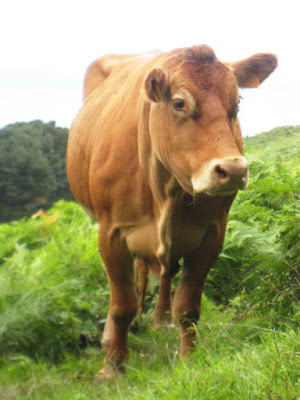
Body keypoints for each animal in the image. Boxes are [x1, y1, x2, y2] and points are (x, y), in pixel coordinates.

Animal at [67, 45, 278, 380]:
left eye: (237, 102)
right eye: (179, 103)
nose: (232, 170)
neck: (165, 190)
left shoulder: (212, 232)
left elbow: (188, 306)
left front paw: (189, 357)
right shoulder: (111, 233)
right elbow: (122, 304)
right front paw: (113, 365)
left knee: (164, 273)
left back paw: (160, 318)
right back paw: (113, 335)